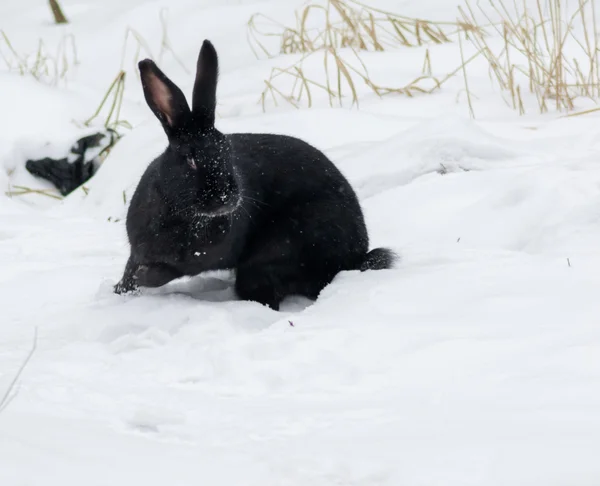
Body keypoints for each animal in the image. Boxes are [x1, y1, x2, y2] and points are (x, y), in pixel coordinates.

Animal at [114, 39, 396, 310]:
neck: (182, 214)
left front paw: (143, 278)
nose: (226, 198)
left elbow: (168, 272)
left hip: (271, 257)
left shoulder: (198, 259)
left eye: (228, 152)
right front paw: (121, 290)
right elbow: (129, 268)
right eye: (191, 159)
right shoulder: (138, 250)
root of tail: (354, 258)